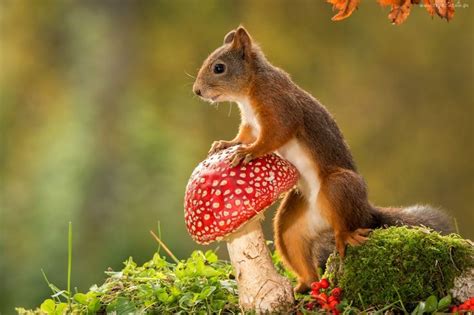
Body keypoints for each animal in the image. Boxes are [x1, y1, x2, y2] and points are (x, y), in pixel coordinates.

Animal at [192, 26, 452, 294]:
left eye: (219, 67)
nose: (197, 91)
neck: (250, 88)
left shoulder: (279, 106)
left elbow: (274, 135)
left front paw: (249, 152)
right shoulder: (251, 124)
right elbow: (244, 136)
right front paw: (226, 144)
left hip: (339, 185)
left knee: (345, 222)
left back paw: (345, 236)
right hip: (291, 224)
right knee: (295, 245)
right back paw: (303, 286)